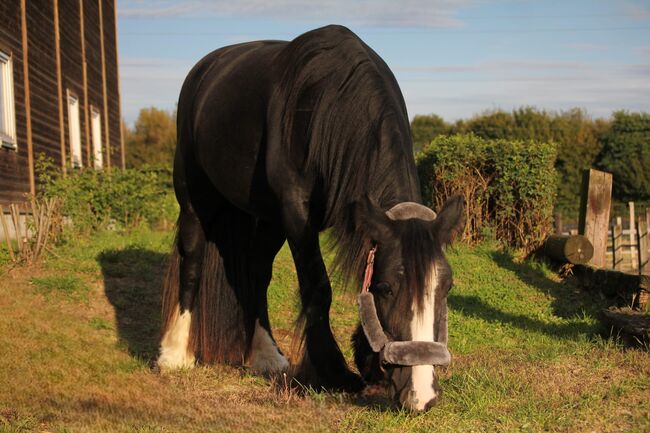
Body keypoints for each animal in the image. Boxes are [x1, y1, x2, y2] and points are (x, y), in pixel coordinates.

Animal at [157, 25, 460, 410]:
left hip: (268, 218)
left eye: (446, 286)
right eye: (386, 288)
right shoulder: (297, 213)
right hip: (195, 196)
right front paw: (334, 371)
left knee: (257, 273)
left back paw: (265, 356)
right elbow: (318, 288)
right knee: (193, 259)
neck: (328, 103)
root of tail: (205, 68)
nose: (421, 396)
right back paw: (174, 354)